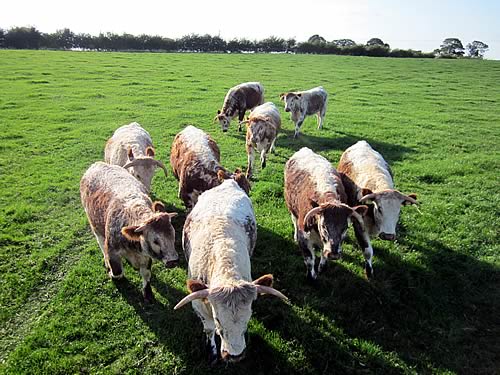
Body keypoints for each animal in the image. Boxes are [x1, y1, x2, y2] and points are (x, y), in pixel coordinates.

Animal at [79, 162, 178, 302]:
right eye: (155, 241)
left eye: (173, 235)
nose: (173, 261)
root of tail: (96, 164)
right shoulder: (112, 251)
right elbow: (117, 273)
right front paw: (111, 272)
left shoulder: (145, 256)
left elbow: (146, 274)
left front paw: (148, 293)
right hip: (95, 228)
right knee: (100, 244)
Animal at [174, 179, 288, 364]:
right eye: (218, 319)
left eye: (248, 317)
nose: (235, 356)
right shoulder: (199, 305)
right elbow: (209, 329)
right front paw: (212, 352)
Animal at [286, 148, 368, 280]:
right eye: (324, 226)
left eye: (345, 227)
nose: (333, 254)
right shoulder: (303, 238)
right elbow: (309, 260)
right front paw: (311, 277)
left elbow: (323, 256)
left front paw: (322, 267)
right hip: (292, 209)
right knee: (294, 220)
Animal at [340, 141, 418, 276]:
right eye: (380, 208)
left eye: (398, 211)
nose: (388, 236)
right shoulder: (359, 226)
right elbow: (367, 251)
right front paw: (369, 271)